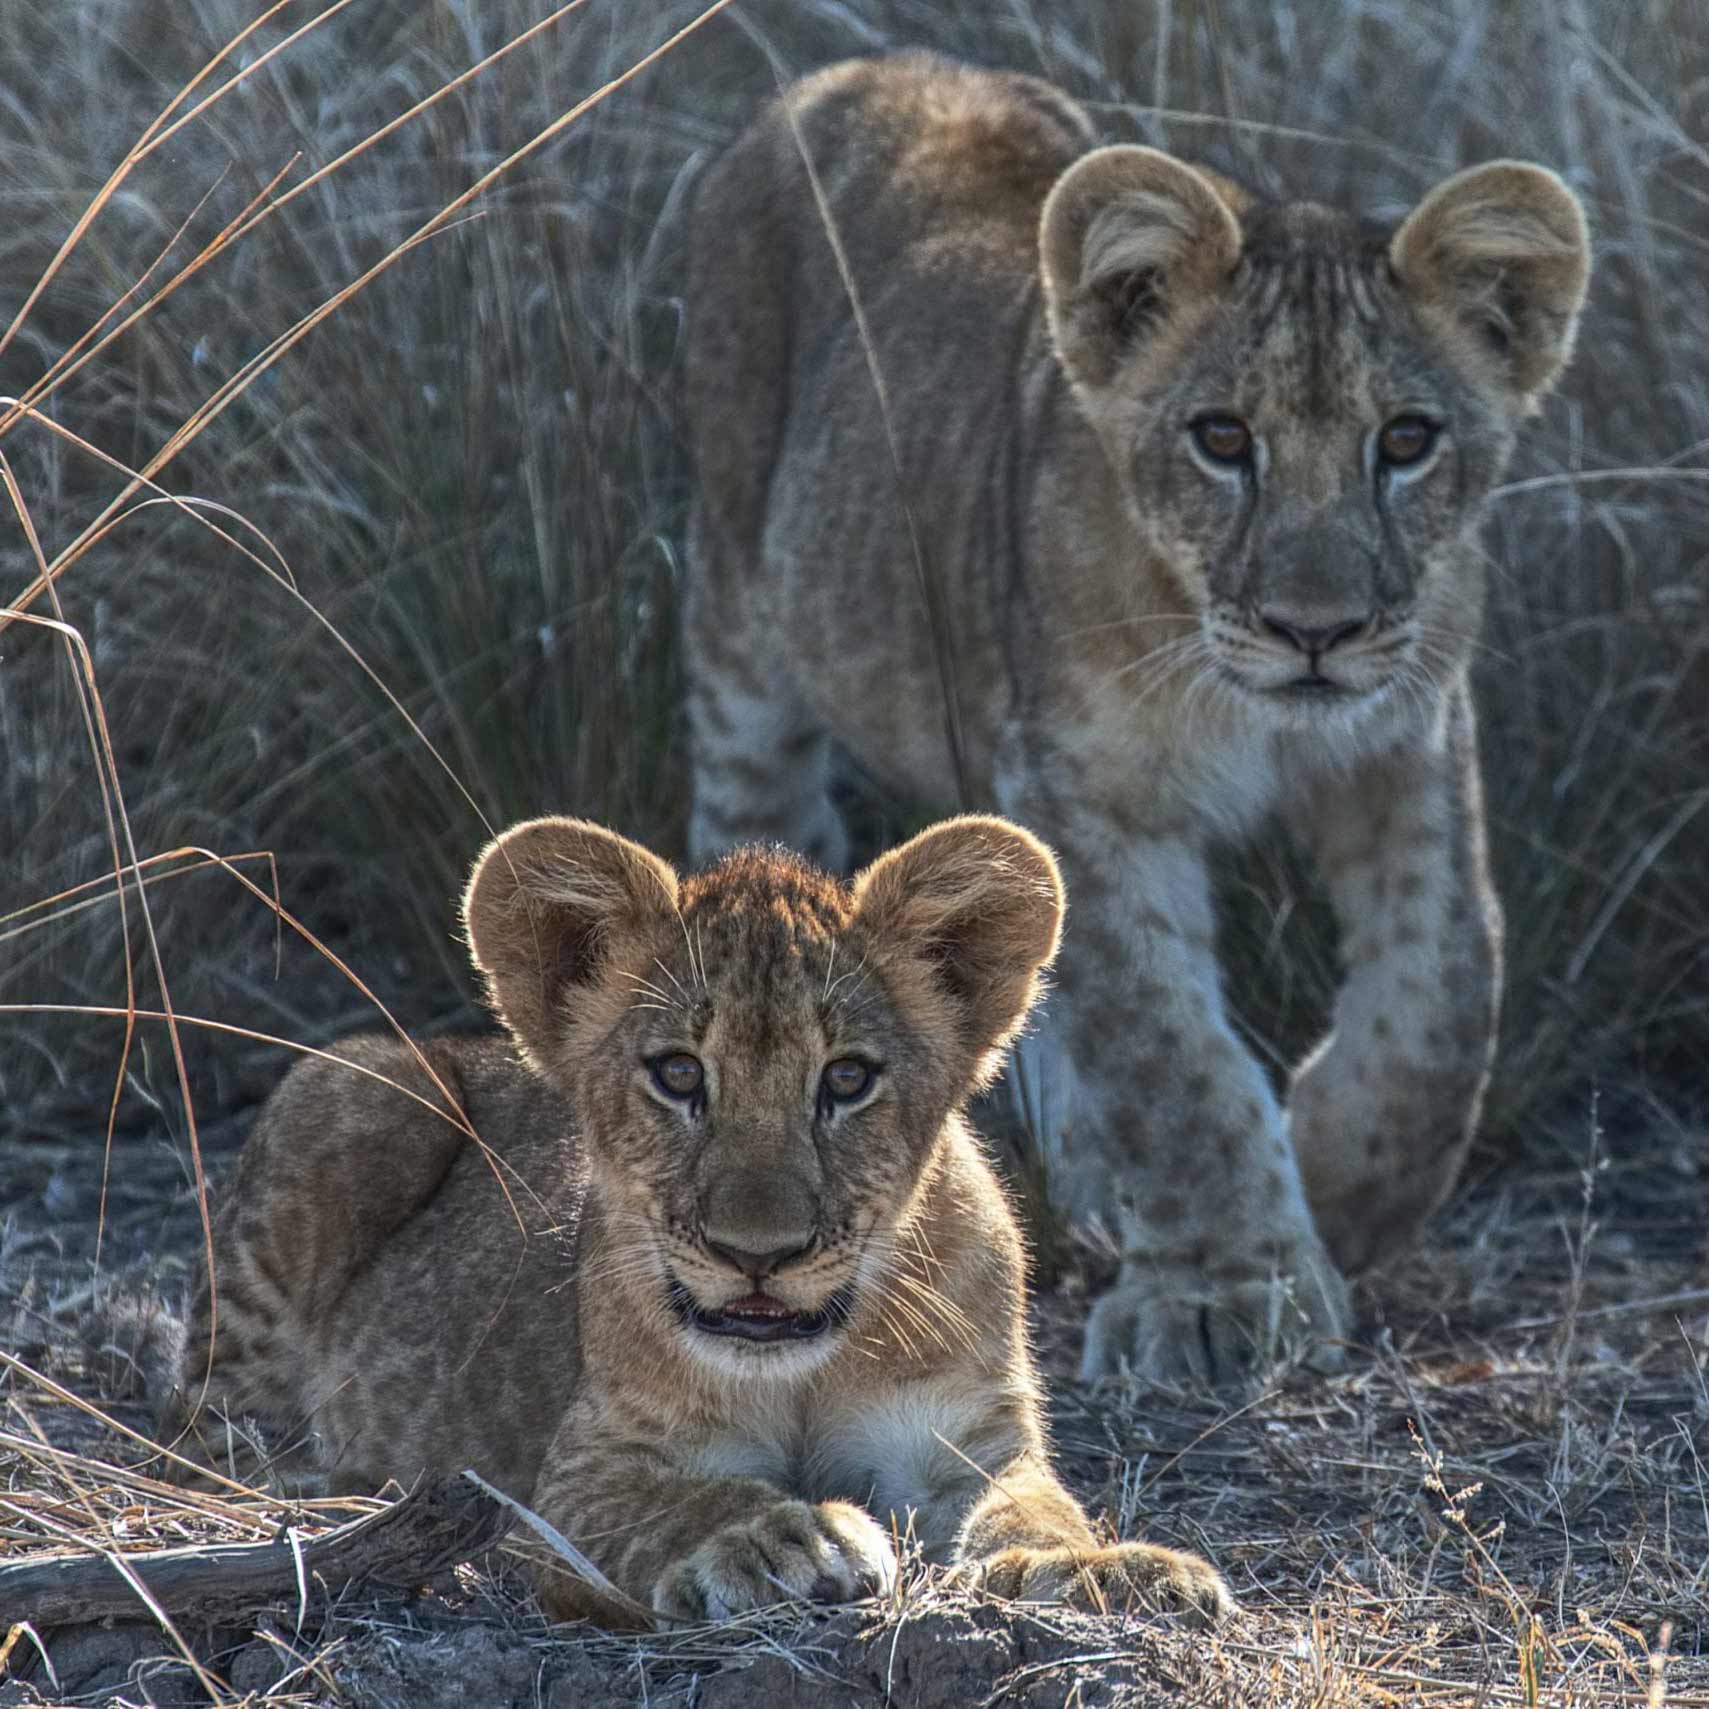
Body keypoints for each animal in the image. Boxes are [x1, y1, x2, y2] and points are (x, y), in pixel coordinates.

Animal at [159, 814, 1233, 1626]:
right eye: (678, 1073)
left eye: (847, 1079)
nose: (757, 1255)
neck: (806, 1369)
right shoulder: (575, 1477)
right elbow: (672, 1501)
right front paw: (776, 1534)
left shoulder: (961, 1439)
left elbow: (1035, 1511)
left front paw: (1111, 1570)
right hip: (364, 1083)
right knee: (203, 1428)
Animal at [680, 50, 1591, 1386]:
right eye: (1220, 438)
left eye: (1406, 441)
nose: (1313, 631)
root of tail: (856, 69)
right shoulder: (1083, 785)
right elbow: (1168, 1055)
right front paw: (1225, 1291)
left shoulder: (1405, 746)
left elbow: (1442, 991)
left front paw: (1340, 1175)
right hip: (741, 625)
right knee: (755, 850)